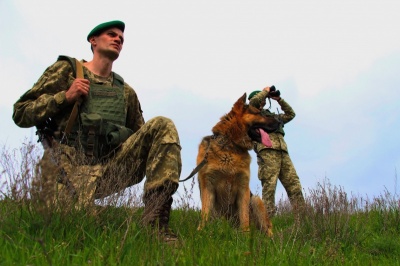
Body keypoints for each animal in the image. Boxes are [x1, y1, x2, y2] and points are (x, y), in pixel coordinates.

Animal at [196, 92, 278, 236]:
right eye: (259, 113)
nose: (280, 122)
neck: (230, 145)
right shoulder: (208, 186)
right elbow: (205, 212)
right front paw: (202, 231)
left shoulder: (243, 188)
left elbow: (244, 215)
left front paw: (245, 234)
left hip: (256, 200)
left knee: (267, 228)